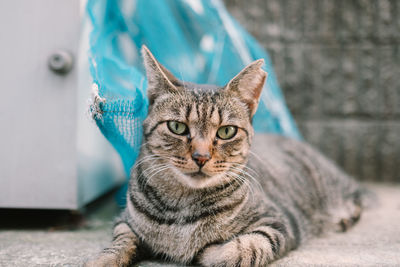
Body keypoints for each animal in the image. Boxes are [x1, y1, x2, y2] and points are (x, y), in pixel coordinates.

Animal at [85, 47, 366, 266]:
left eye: (226, 131)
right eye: (177, 127)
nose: (200, 156)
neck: (183, 208)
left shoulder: (277, 222)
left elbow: (240, 250)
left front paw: (205, 251)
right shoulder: (125, 222)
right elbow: (119, 243)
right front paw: (103, 259)